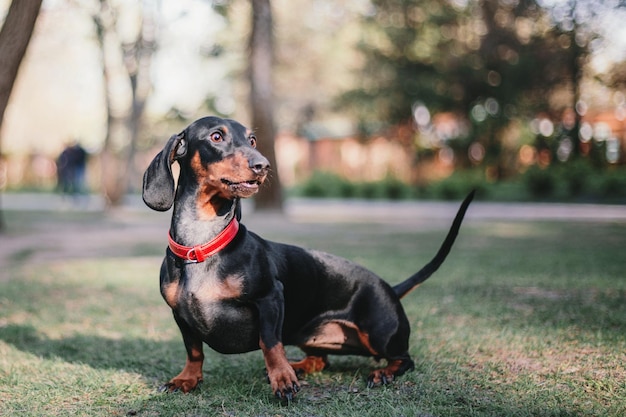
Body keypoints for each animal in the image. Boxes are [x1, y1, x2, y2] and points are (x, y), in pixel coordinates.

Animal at [143, 115, 472, 398]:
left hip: (380, 335)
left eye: (252, 139)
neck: (203, 244)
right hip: (311, 336)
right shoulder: (180, 315)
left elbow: (270, 343)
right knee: (321, 360)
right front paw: (187, 379)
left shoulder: (270, 297)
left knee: (404, 358)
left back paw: (381, 373)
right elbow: (194, 350)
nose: (263, 165)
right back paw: (299, 366)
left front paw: (282, 379)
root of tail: (390, 288)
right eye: (216, 136)